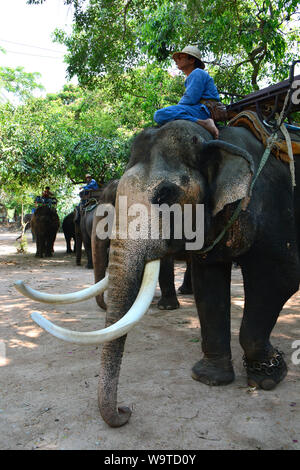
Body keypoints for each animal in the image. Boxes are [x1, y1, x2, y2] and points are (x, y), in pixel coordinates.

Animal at [15, 119, 300, 428]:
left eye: (165, 194)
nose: (125, 411)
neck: (216, 138)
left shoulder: (274, 206)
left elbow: (279, 278)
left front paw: (268, 378)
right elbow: (208, 285)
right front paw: (208, 378)